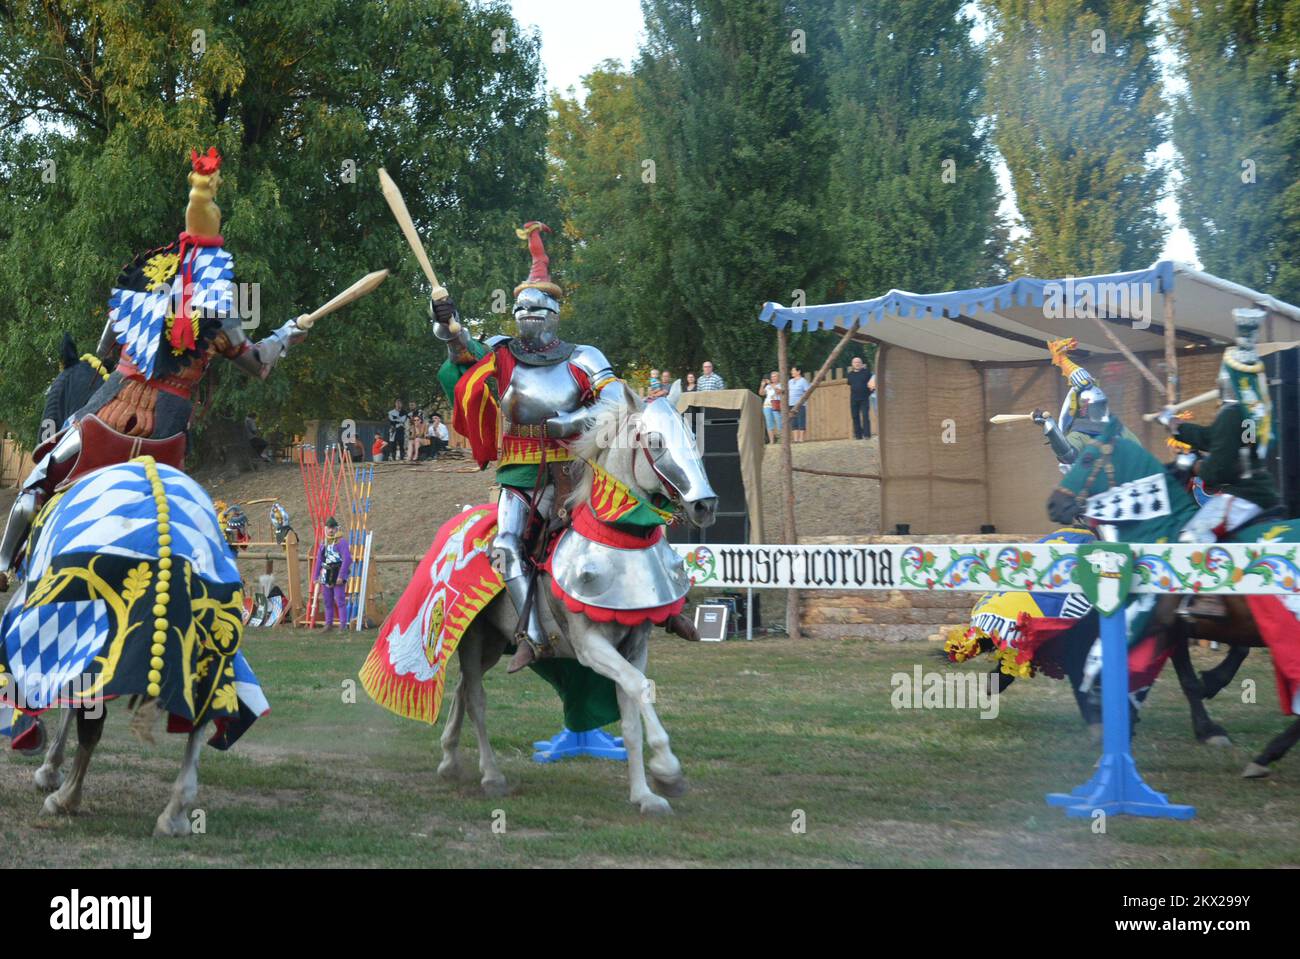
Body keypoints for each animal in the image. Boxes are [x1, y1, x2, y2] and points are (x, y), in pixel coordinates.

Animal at [439, 376, 722, 810]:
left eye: (693, 436)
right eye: (655, 440)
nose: (705, 505)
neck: (617, 539)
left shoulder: (634, 644)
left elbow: (631, 711)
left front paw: (644, 794)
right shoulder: (591, 648)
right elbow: (640, 688)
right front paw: (668, 771)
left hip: (494, 642)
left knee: (461, 690)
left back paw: (449, 759)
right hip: (472, 639)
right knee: (476, 699)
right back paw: (491, 775)